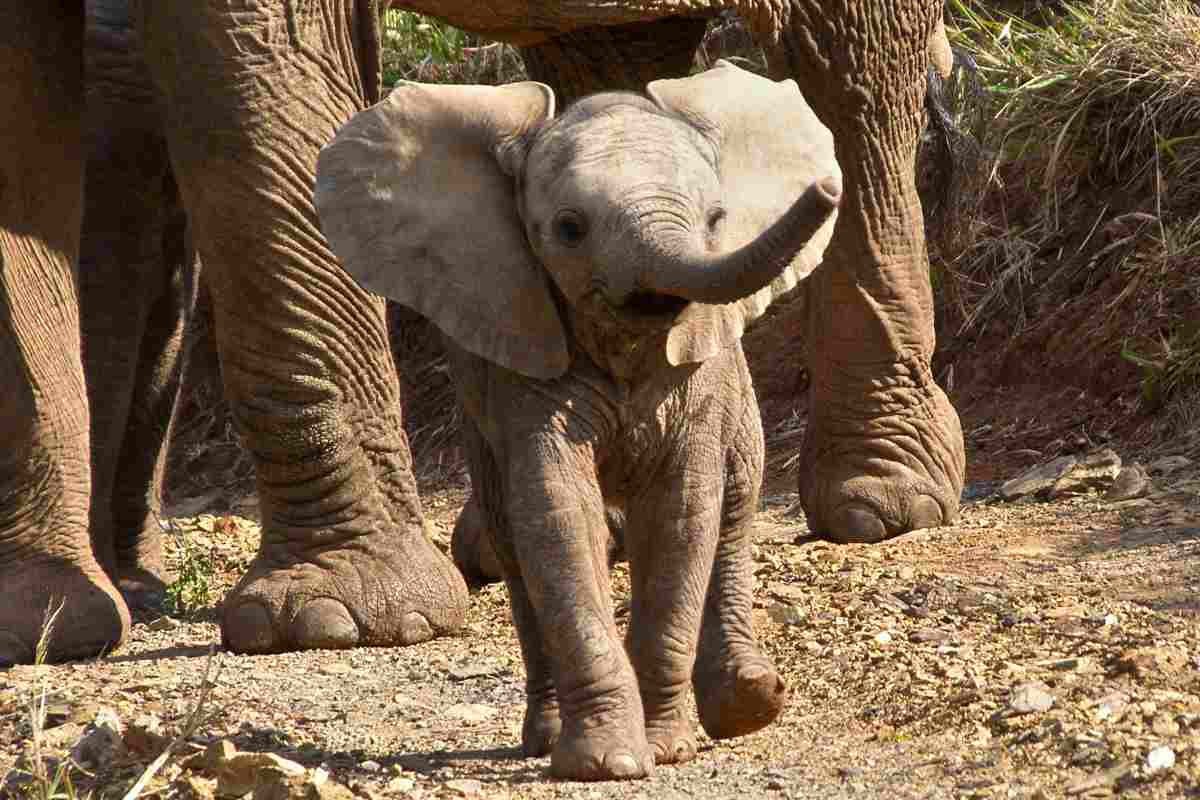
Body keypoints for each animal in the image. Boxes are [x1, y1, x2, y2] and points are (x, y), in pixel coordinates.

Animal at [315, 63, 840, 779]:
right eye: (568, 229)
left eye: (716, 219)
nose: (830, 189)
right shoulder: (519, 354)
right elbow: (559, 511)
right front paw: (608, 762)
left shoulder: (699, 368)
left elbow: (681, 511)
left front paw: (667, 749)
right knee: (512, 539)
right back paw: (546, 737)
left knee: (733, 509)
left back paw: (747, 705)